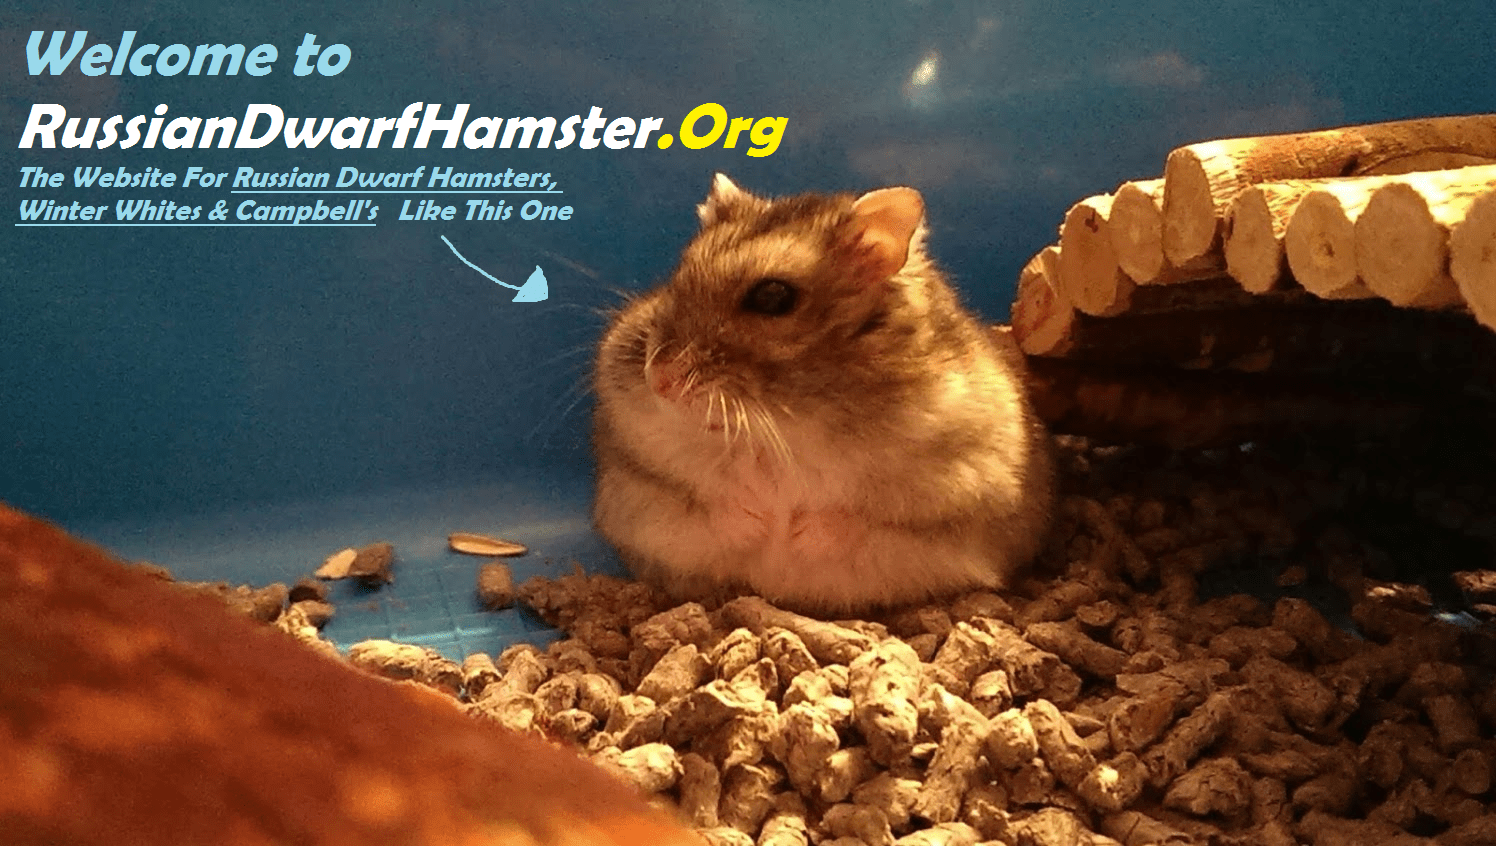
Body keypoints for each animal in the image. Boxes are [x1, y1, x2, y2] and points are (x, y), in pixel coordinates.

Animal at [592, 174, 1055, 615]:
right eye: (677, 278)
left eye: (772, 296)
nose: (659, 379)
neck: (787, 417)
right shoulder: (637, 474)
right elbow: (701, 501)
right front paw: (760, 521)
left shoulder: (964, 482)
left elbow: (863, 521)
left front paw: (796, 531)